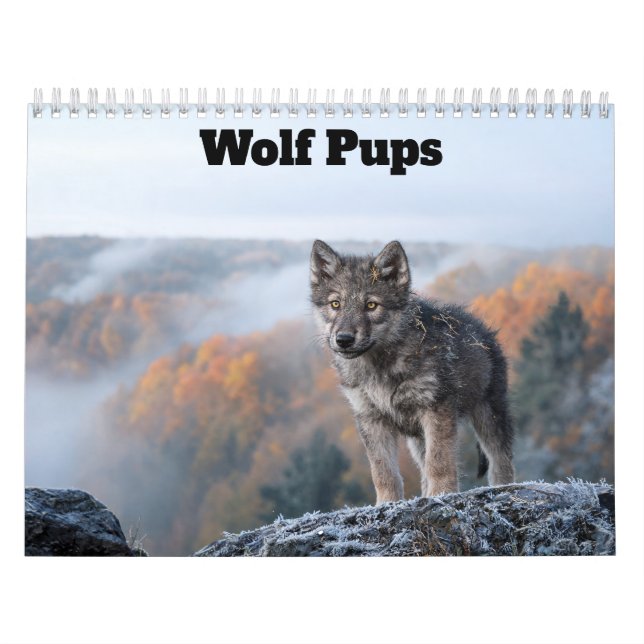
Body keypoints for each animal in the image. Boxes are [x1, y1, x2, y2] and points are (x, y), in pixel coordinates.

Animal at [310, 240, 515, 503]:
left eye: (371, 305)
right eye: (335, 304)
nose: (343, 339)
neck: (379, 367)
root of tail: (485, 332)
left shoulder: (436, 410)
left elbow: (440, 462)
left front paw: (441, 495)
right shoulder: (370, 418)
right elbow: (383, 472)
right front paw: (387, 503)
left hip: (488, 415)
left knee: (501, 460)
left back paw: (504, 489)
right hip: (418, 438)